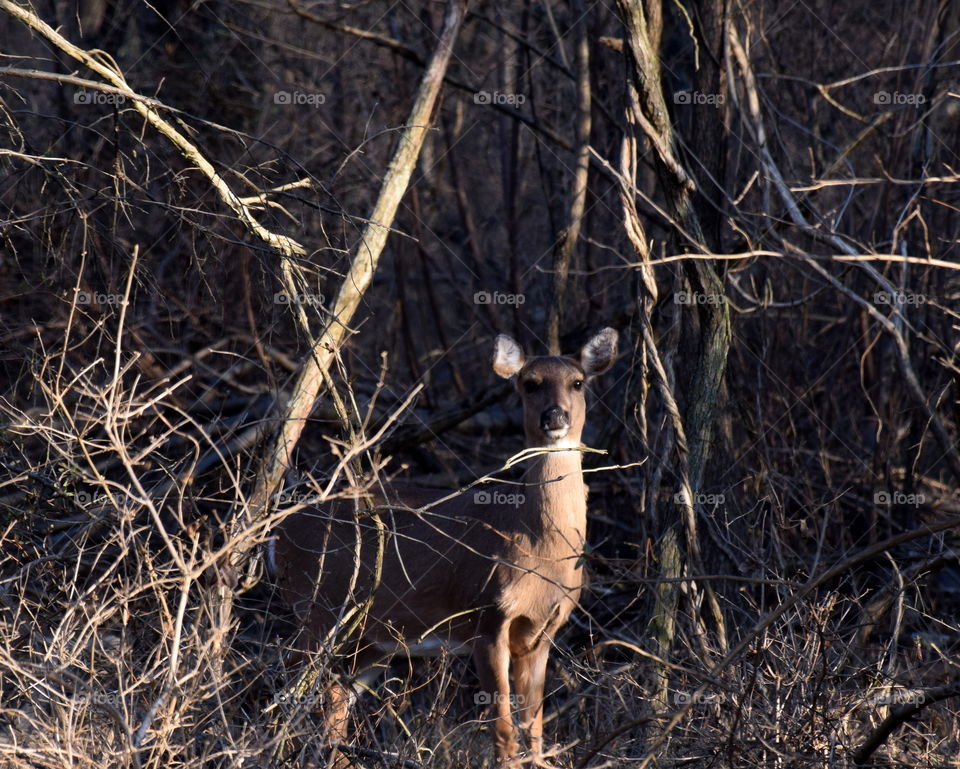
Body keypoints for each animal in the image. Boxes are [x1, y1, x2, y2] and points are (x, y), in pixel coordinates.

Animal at [273, 328, 618, 766]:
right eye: (529, 383)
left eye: (578, 382)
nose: (555, 417)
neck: (537, 548)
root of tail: (279, 532)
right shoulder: (486, 618)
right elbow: (503, 730)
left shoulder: (542, 632)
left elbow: (535, 729)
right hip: (316, 608)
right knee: (286, 688)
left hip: (369, 638)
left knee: (334, 698)